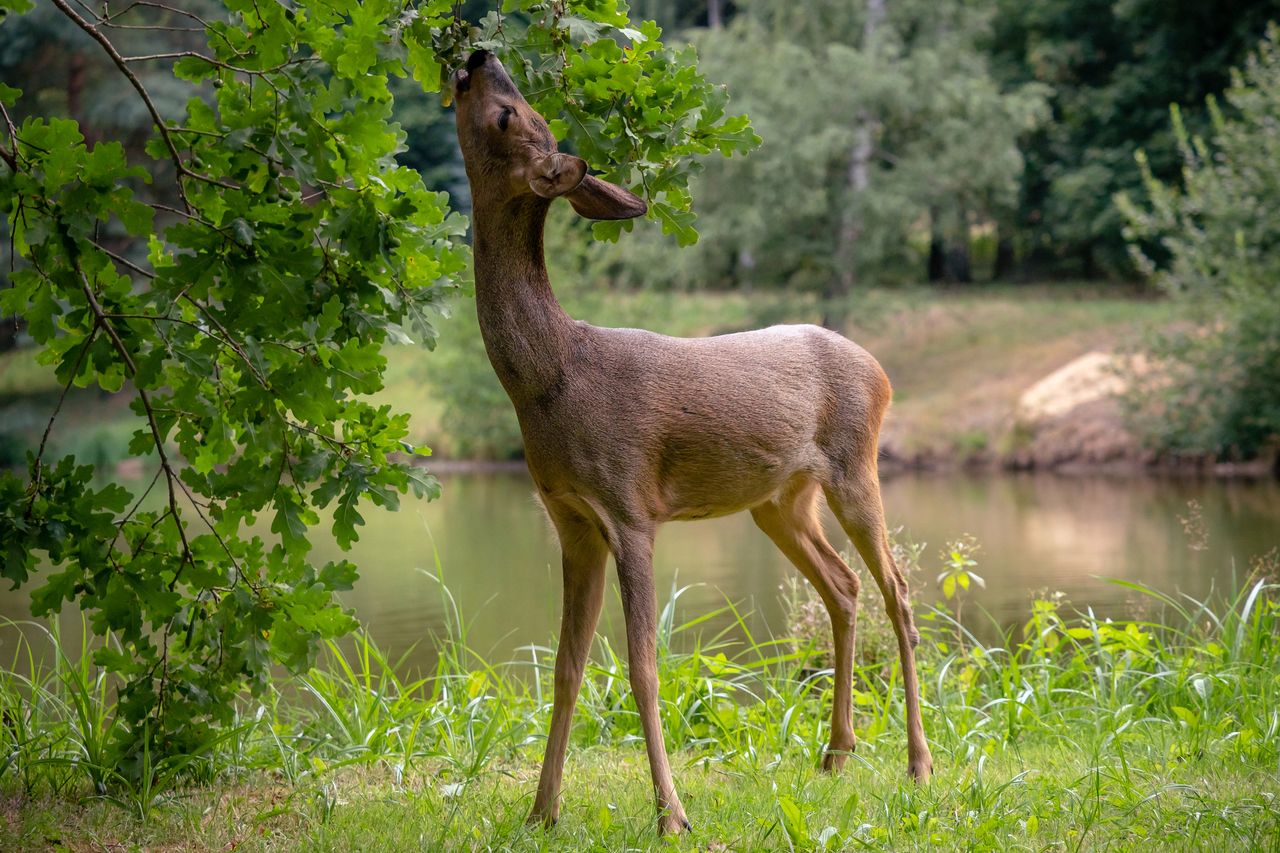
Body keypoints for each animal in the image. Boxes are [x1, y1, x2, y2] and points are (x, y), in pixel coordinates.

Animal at [450, 48, 931, 829]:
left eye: (508, 115)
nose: (477, 55)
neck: (551, 378)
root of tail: (882, 369)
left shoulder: (629, 507)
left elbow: (642, 666)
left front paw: (670, 812)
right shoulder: (570, 519)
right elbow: (565, 667)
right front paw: (542, 810)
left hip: (856, 465)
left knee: (898, 590)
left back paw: (918, 763)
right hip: (780, 499)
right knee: (844, 584)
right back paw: (836, 752)